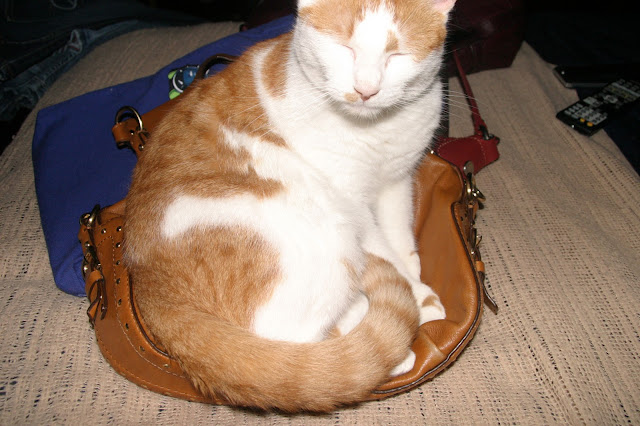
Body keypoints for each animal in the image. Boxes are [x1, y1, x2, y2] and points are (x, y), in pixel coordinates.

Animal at [124, 0, 455, 412]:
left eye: (397, 56)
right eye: (344, 48)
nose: (366, 90)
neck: (377, 129)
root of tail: (149, 283)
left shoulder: (398, 179)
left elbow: (400, 238)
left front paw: (414, 271)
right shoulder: (350, 199)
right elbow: (386, 251)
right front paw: (420, 296)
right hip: (325, 232)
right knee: (291, 351)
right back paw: (387, 352)